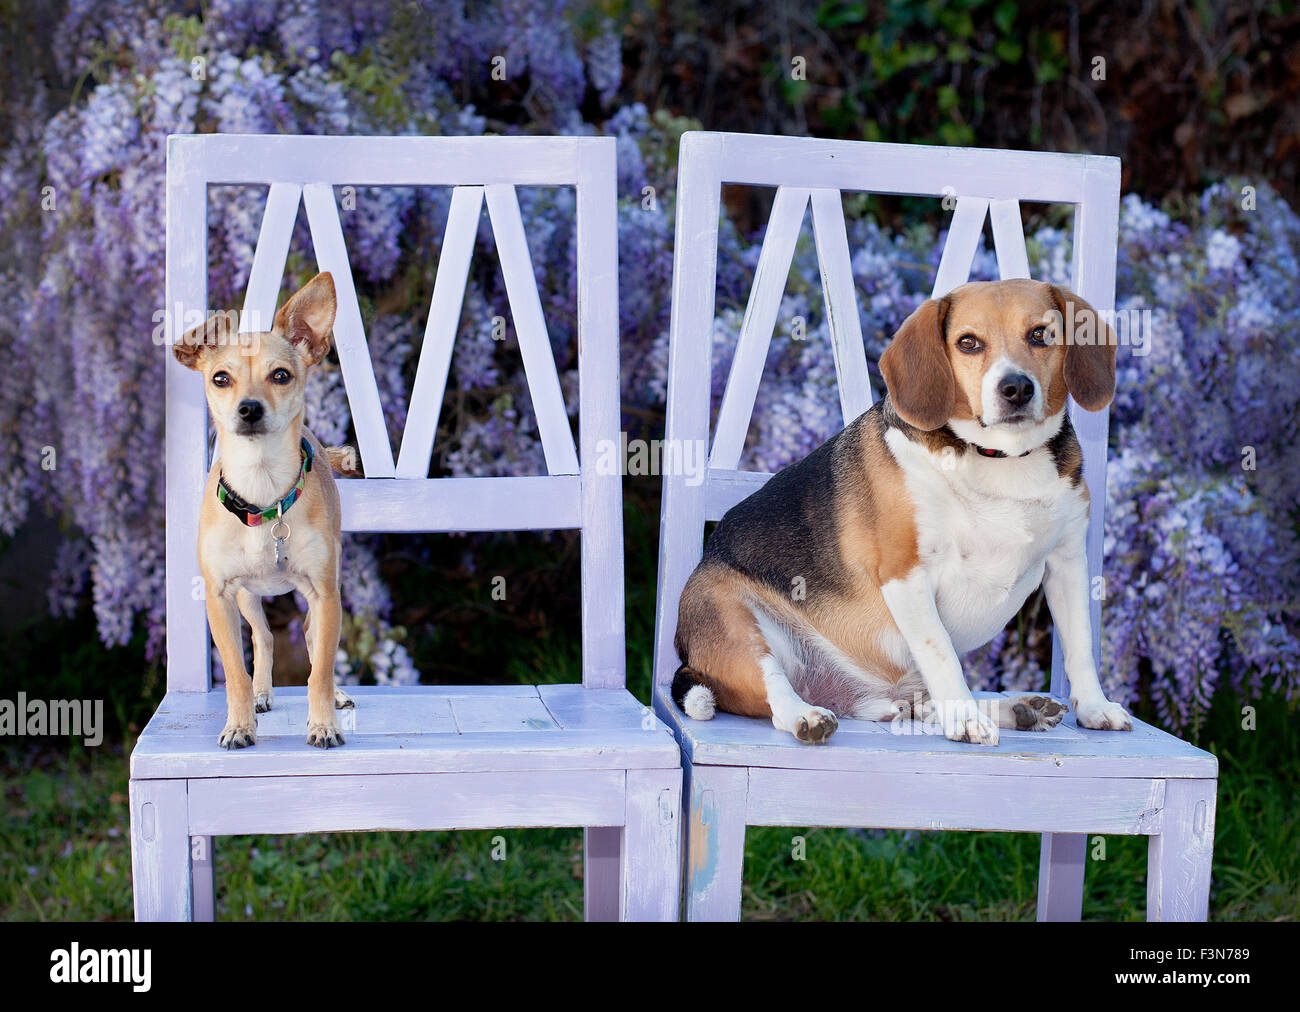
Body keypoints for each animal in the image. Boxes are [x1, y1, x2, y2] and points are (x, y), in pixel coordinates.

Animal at [174, 271, 361, 744]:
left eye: (280, 375)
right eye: (220, 378)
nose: (249, 408)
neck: (263, 490)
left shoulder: (324, 593)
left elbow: (320, 669)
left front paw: (323, 724)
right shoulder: (220, 596)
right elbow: (235, 672)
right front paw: (240, 724)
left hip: (325, 589)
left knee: (313, 640)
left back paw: (334, 695)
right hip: (247, 596)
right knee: (263, 637)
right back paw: (262, 694)